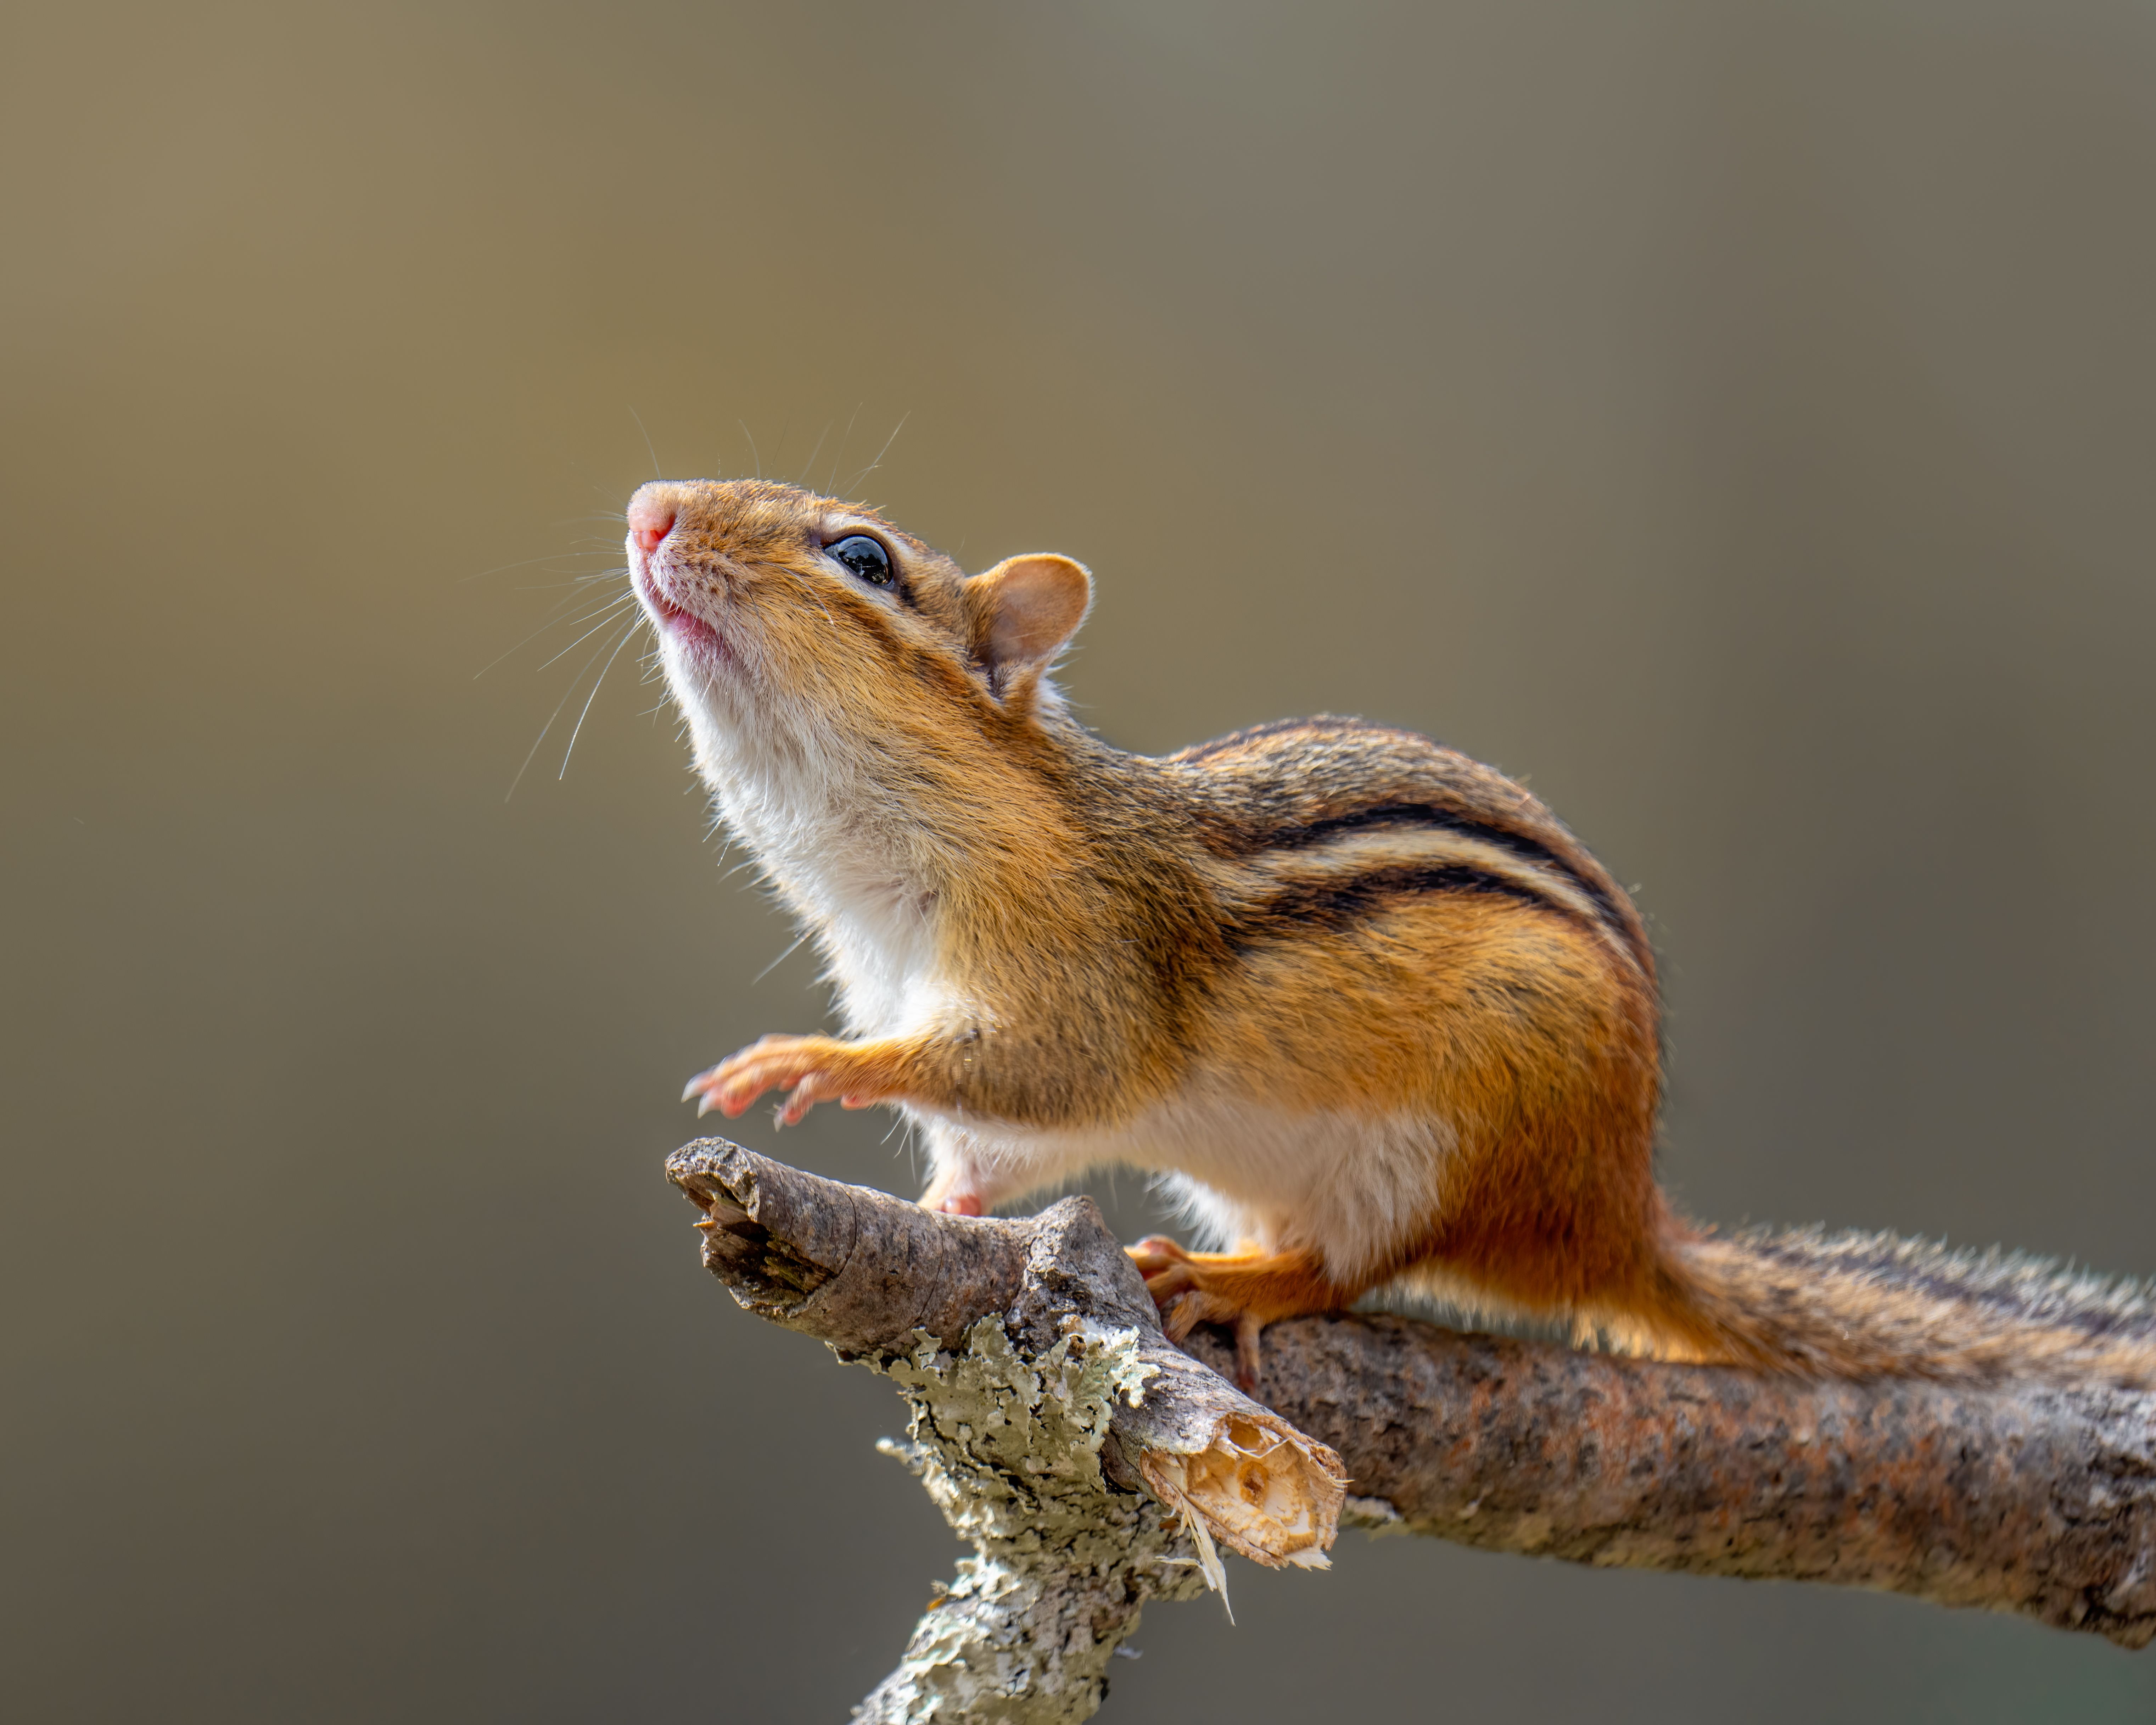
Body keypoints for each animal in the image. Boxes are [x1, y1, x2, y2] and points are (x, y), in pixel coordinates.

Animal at [627, 476, 2156, 1392]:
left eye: (863, 557)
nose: (649, 509)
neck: (884, 869)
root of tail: (1620, 1215)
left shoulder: (1081, 970)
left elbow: (1039, 1075)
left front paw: (811, 1063)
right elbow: (992, 1149)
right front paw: (939, 1207)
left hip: (1453, 1134)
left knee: (1352, 1270)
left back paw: (1238, 1274)